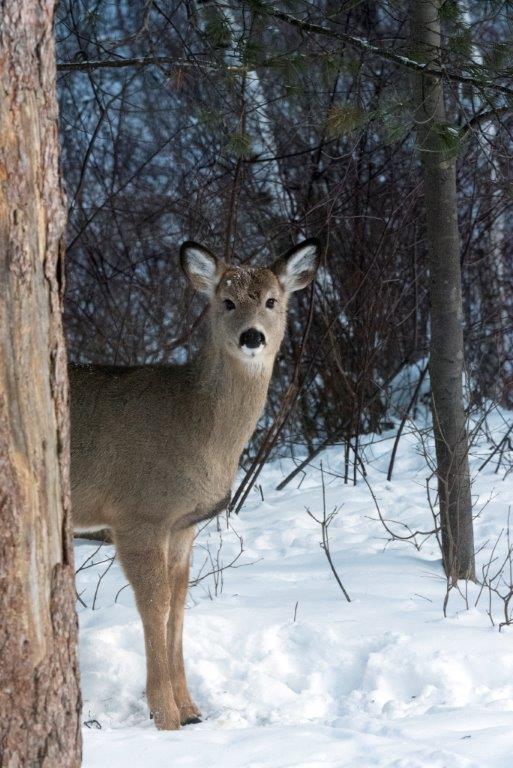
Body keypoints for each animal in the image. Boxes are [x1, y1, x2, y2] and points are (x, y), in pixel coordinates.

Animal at [69, 238, 320, 730]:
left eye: (271, 301)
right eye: (226, 302)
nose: (252, 337)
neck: (193, 424)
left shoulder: (183, 524)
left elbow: (180, 604)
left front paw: (190, 709)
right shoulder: (137, 515)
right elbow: (155, 604)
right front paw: (164, 714)